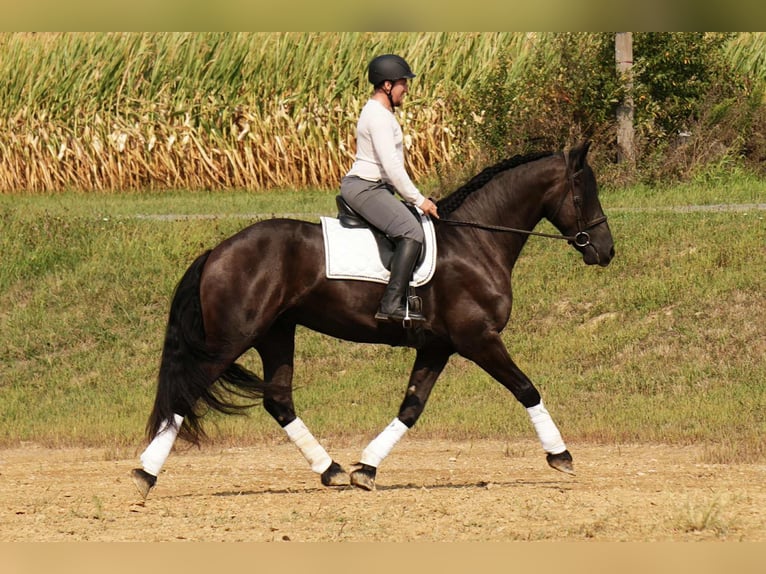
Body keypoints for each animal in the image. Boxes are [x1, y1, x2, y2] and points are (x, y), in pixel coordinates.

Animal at [131, 141, 614, 499]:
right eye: (584, 190)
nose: (605, 250)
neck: (477, 242)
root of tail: (218, 250)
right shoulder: (478, 338)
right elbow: (526, 388)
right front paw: (561, 456)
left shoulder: (437, 346)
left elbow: (411, 407)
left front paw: (366, 468)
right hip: (234, 337)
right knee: (186, 392)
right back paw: (145, 475)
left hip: (275, 333)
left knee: (278, 400)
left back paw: (331, 469)